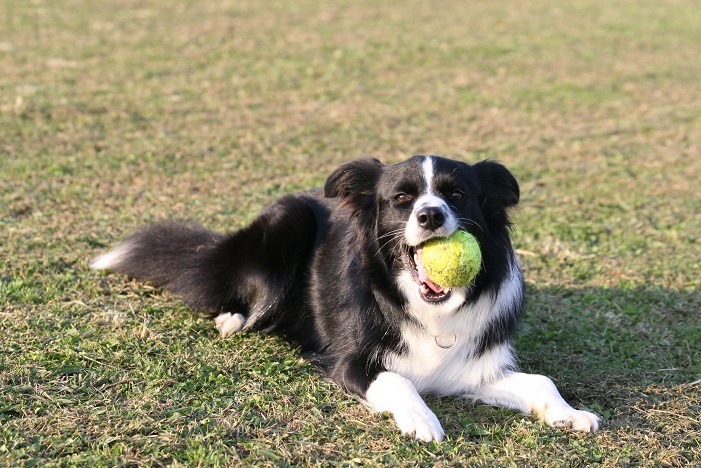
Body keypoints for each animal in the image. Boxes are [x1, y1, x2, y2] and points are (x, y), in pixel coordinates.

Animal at [90, 155, 600, 440]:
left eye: (457, 195)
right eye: (401, 198)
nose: (431, 216)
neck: (420, 305)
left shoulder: (470, 368)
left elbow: (540, 381)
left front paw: (570, 413)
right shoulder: (351, 362)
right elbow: (398, 381)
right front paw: (422, 420)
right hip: (284, 226)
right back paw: (235, 318)